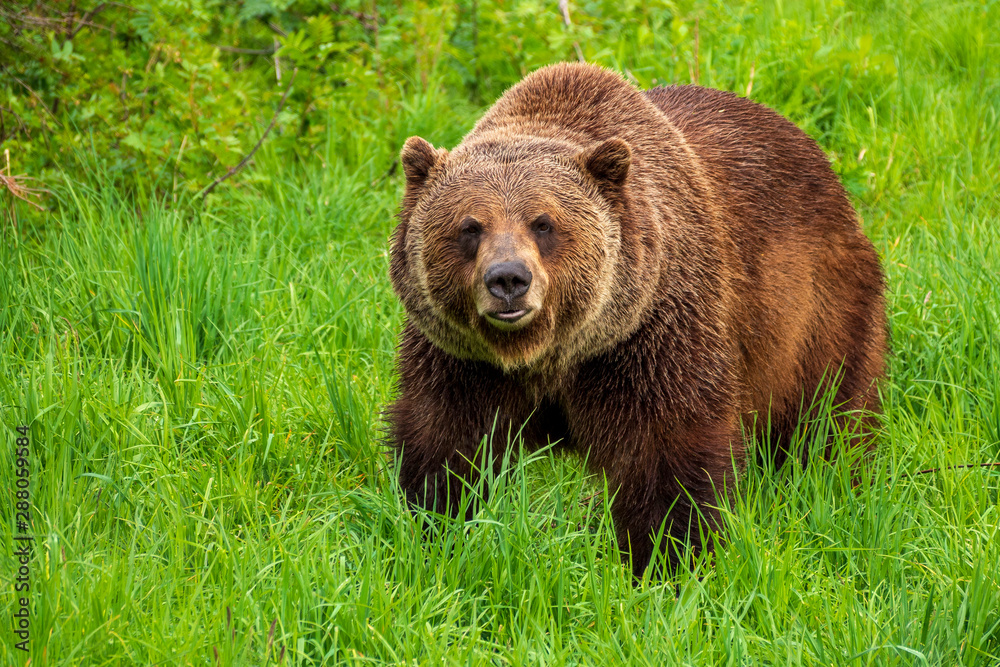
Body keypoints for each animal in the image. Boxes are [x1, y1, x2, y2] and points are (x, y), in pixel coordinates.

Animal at [387, 62, 887, 577]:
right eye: (470, 227)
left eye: (543, 223)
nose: (508, 279)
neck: (552, 351)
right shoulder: (462, 359)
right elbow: (447, 443)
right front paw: (434, 528)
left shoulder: (650, 337)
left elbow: (666, 453)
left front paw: (669, 557)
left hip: (815, 309)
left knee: (827, 412)